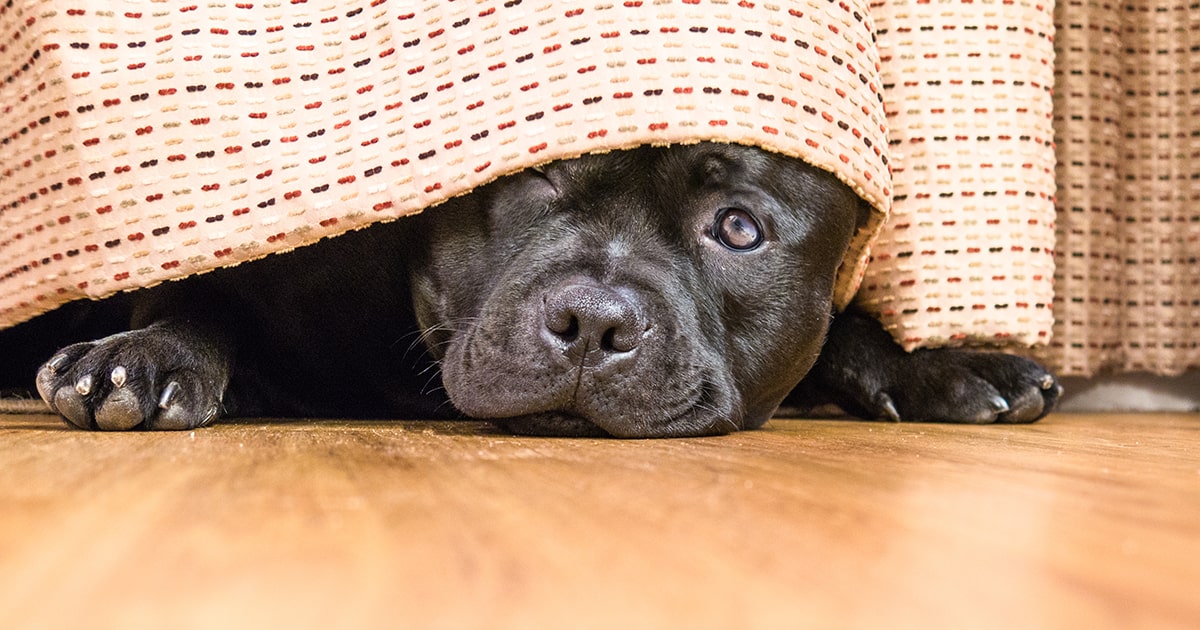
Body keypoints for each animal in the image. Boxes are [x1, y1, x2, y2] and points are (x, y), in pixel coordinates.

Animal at [9, 144, 1060, 434]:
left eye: (739, 229)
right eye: (536, 176)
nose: (592, 321)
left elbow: (843, 330)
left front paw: (946, 363)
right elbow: (192, 296)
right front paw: (144, 357)